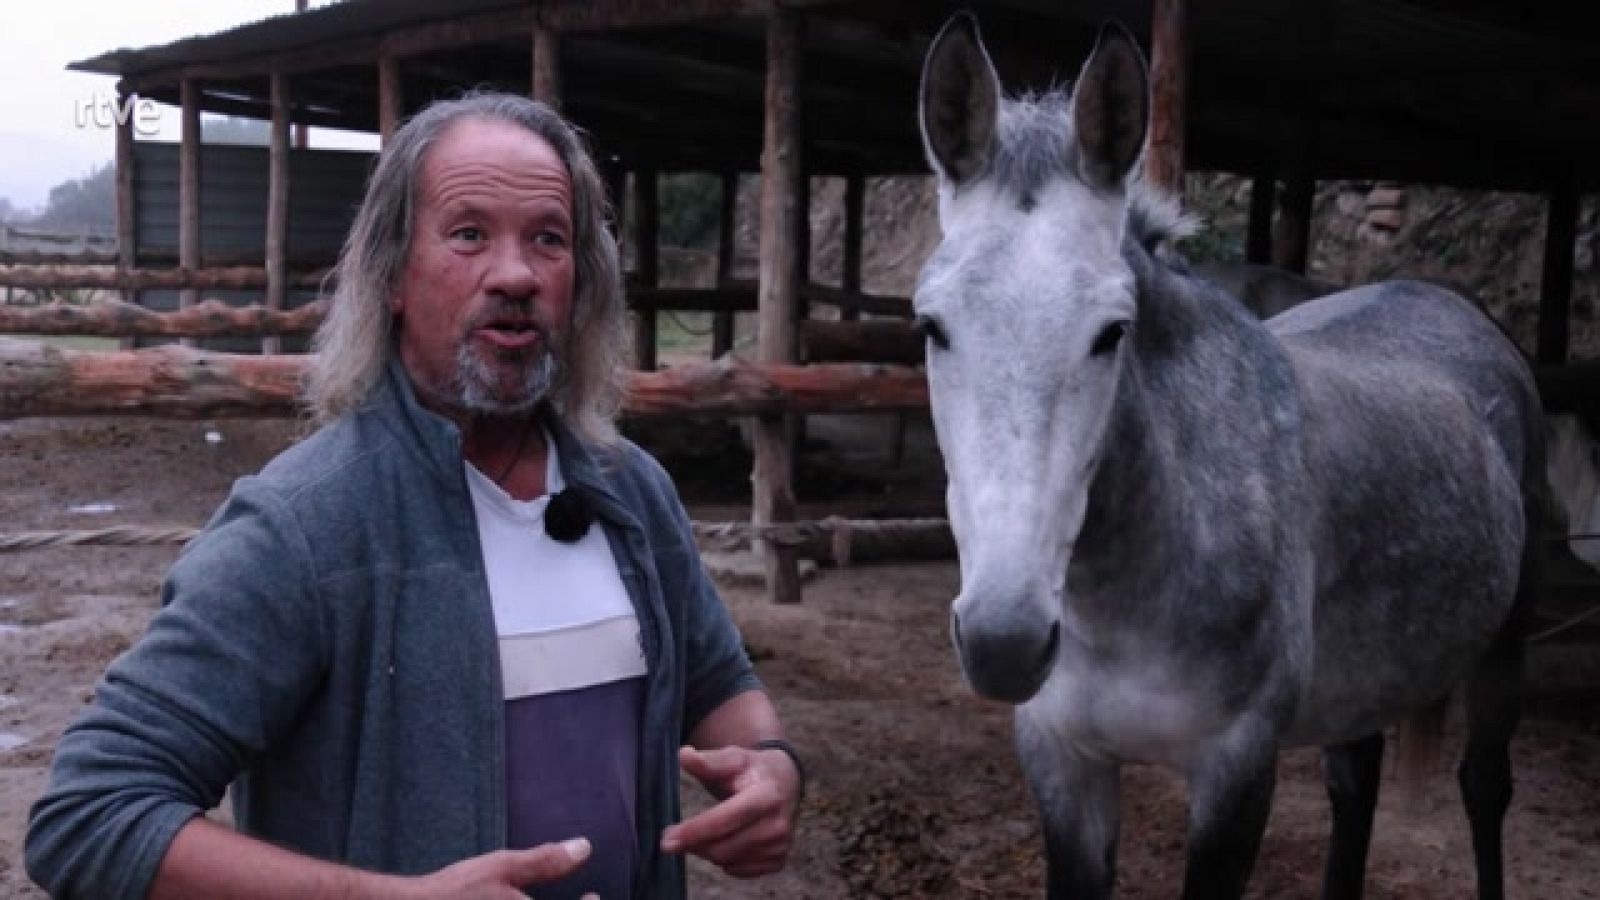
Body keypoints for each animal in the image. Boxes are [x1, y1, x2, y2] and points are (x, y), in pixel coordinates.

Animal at [915, 15, 1544, 899]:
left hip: (1504, 646)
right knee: (1356, 782)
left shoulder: (1237, 769)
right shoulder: (1062, 760)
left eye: (1112, 332)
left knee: (1485, 787)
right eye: (932, 326)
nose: (1005, 642)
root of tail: (1455, 307)